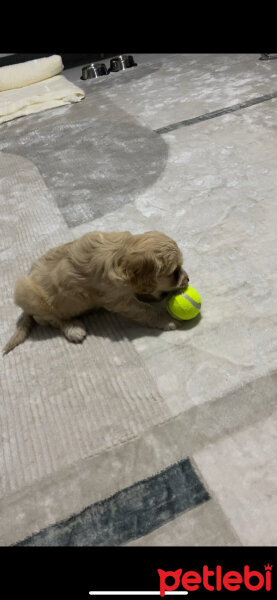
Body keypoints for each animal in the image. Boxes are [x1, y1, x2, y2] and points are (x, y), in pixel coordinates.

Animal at [3, 229, 189, 352]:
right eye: (174, 273)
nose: (188, 280)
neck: (120, 255)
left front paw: (147, 295)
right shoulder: (118, 299)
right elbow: (145, 310)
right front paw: (167, 320)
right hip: (26, 293)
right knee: (49, 319)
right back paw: (73, 328)